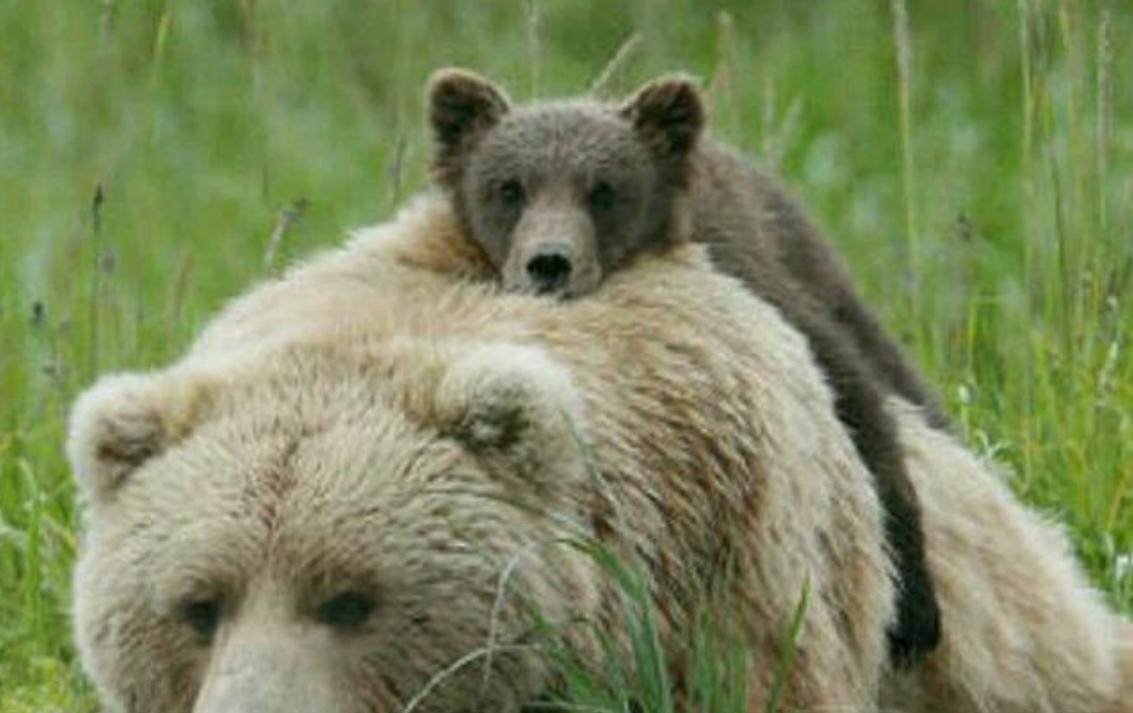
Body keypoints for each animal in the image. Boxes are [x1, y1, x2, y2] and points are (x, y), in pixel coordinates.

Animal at [425, 67, 943, 665]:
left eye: (604, 189)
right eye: (509, 187)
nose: (549, 262)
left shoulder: (763, 283)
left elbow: (853, 395)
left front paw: (914, 612)